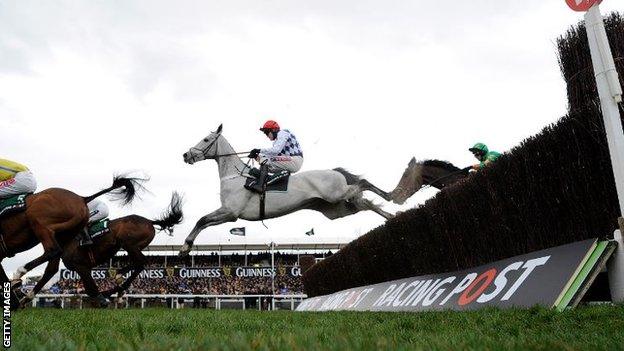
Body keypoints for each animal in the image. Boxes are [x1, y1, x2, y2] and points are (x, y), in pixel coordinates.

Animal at [1, 177, 141, 310]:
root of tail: (83, 199)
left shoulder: (80, 265)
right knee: (51, 267)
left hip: (39, 221)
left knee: (52, 252)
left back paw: (19, 274)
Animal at [26, 191, 183, 306]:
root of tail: (150, 221)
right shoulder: (82, 267)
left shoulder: (81, 266)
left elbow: (91, 289)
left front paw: (104, 298)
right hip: (131, 246)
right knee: (139, 263)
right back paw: (119, 278)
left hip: (129, 243)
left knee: (142, 262)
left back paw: (115, 286)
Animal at [180, 125, 392, 258]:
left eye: (206, 139)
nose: (186, 155)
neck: (234, 176)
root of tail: (334, 171)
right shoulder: (228, 214)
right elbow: (203, 222)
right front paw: (186, 248)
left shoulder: (231, 213)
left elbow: (201, 220)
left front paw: (185, 246)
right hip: (336, 209)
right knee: (364, 202)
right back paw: (390, 215)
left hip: (337, 194)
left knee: (363, 183)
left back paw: (392, 196)